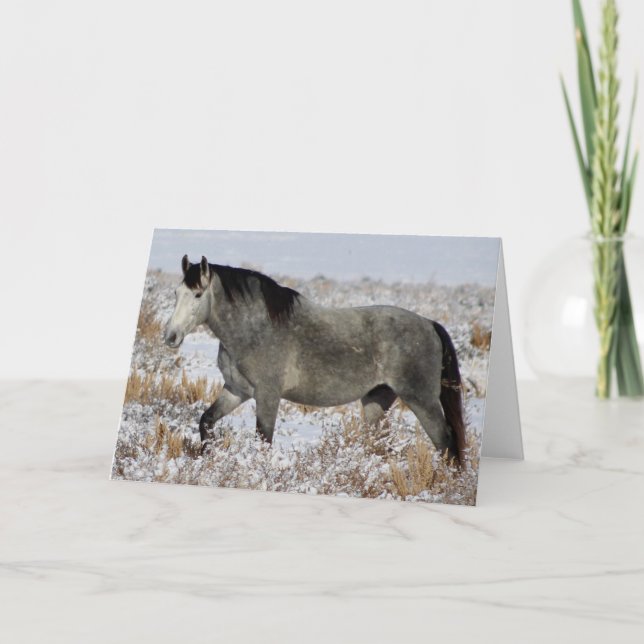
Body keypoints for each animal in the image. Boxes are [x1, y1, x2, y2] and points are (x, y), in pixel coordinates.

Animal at [164, 255, 466, 466]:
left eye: (198, 295)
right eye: (176, 293)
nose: (170, 336)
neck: (255, 329)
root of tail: (429, 324)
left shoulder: (267, 395)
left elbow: (263, 439)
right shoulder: (236, 391)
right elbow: (206, 421)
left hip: (421, 400)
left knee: (447, 443)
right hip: (376, 400)